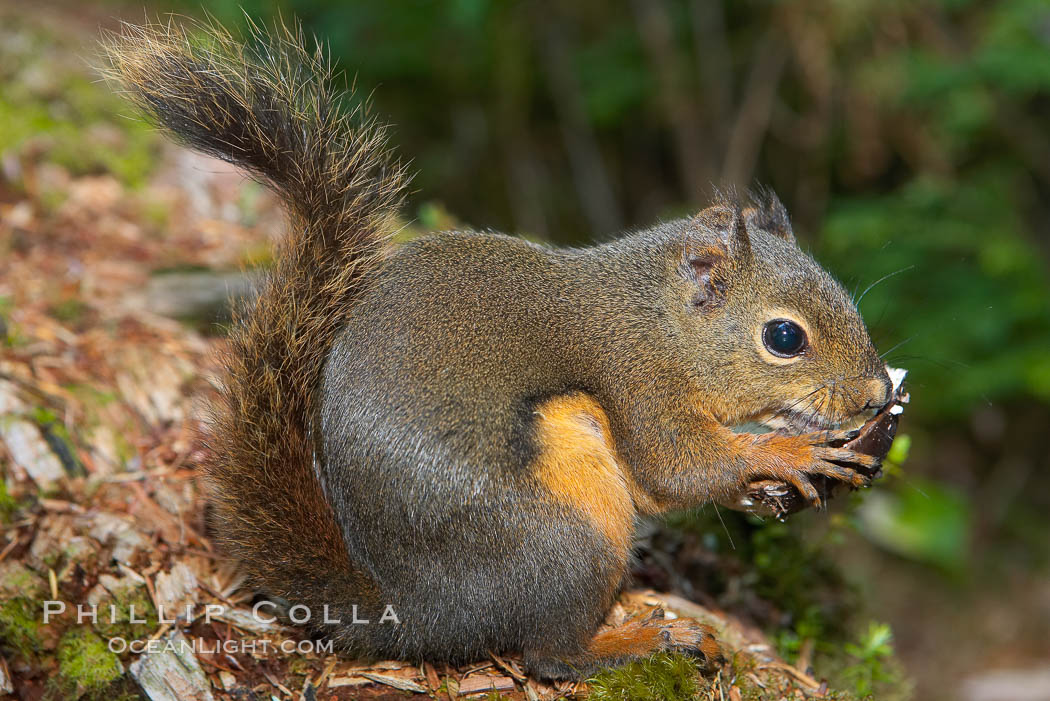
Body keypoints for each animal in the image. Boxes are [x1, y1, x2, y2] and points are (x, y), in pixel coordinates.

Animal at [104, 20, 894, 680]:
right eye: (784, 337)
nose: (876, 394)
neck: (659, 321)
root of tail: (417, 612)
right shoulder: (636, 380)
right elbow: (678, 466)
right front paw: (788, 453)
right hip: (571, 536)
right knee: (547, 655)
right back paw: (635, 639)